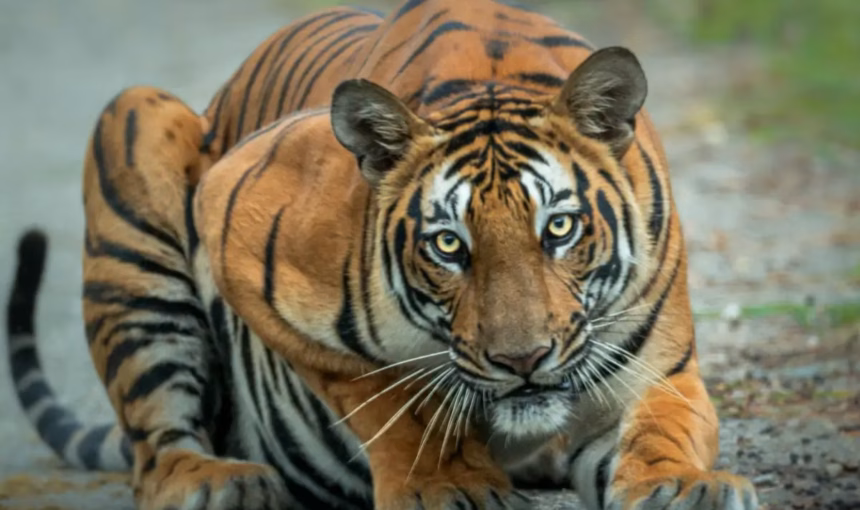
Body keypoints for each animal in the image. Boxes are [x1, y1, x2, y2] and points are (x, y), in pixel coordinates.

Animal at [4, 0, 759, 509]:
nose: (522, 362)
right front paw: (446, 484)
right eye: (449, 244)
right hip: (136, 125)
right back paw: (218, 481)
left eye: (560, 229)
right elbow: (390, 395)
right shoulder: (235, 220)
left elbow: (665, 424)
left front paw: (684, 484)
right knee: (155, 450)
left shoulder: (658, 366)